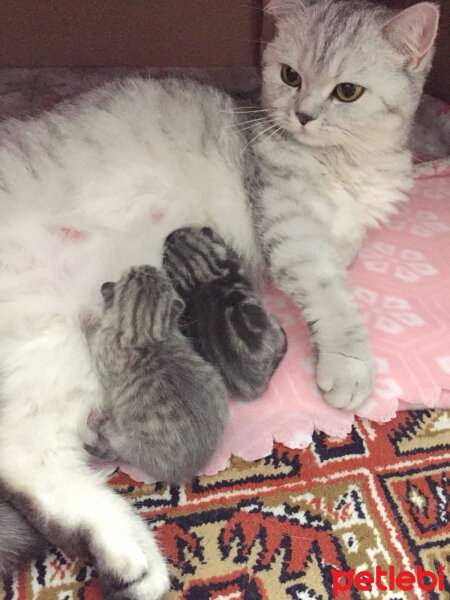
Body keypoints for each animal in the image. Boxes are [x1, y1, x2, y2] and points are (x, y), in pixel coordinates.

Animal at [83, 264, 229, 486]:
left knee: (117, 440)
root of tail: (191, 469)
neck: (146, 336)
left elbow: (94, 337)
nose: (145, 267)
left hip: (130, 440)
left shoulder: (103, 357)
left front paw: (87, 322)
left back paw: (99, 422)